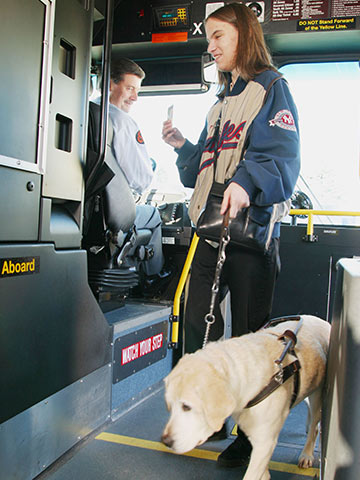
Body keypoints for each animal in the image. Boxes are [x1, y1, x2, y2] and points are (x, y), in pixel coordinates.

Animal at [162, 316, 330, 480]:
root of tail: (323, 321)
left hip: (318, 395)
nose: (166, 442)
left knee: (315, 426)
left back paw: (307, 454)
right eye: (169, 406)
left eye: (186, 406)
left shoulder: (265, 441)